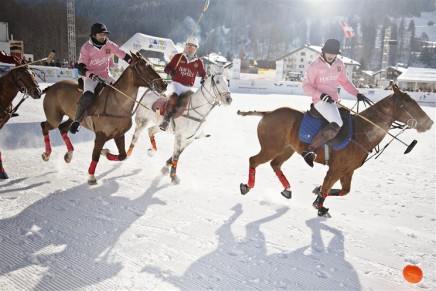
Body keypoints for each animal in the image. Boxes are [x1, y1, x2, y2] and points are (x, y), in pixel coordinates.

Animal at [40, 52, 167, 185]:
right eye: (143, 65)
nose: (164, 84)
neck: (117, 104)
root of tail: (51, 87)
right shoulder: (101, 135)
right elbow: (95, 156)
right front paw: (91, 176)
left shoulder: (119, 135)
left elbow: (122, 155)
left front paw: (105, 152)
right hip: (54, 117)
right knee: (45, 125)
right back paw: (47, 154)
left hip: (71, 117)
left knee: (63, 128)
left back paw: (68, 155)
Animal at [238, 85, 432, 217]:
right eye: (408, 104)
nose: (430, 123)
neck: (363, 131)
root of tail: (268, 113)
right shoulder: (336, 168)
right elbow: (327, 185)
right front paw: (319, 206)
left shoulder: (348, 170)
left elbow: (344, 190)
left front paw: (317, 195)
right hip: (271, 147)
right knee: (253, 160)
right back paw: (247, 186)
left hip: (287, 149)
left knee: (275, 164)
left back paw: (287, 190)